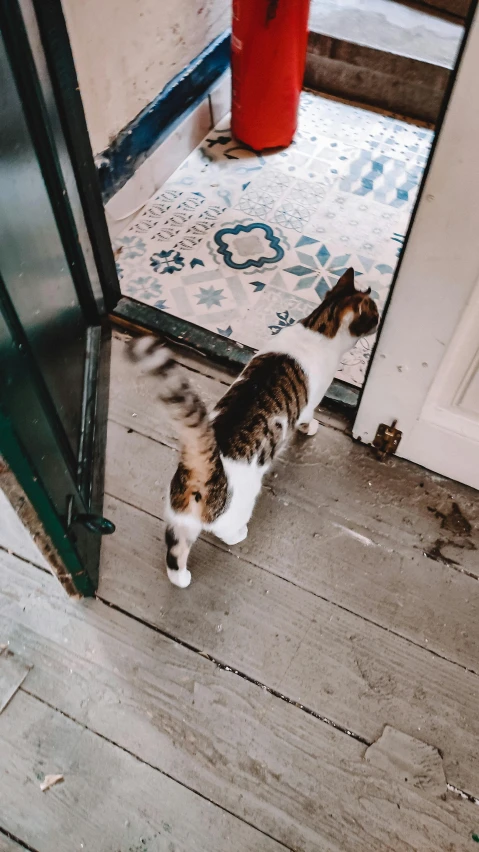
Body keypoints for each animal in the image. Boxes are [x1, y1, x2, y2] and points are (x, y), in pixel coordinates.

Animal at [127, 270, 378, 588]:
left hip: (178, 519)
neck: (319, 326)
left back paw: (181, 578)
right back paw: (239, 535)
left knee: (175, 552)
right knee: (225, 532)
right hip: (240, 503)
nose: (380, 321)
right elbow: (307, 418)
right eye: (375, 313)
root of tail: (204, 467)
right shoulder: (310, 404)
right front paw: (311, 428)